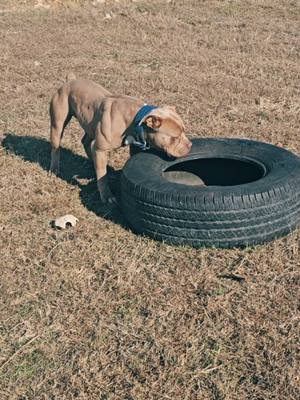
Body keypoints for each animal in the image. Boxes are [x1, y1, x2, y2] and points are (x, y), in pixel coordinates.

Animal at [48, 74, 191, 203]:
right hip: (58, 125)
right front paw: (107, 196)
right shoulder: (101, 149)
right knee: (56, 147)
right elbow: (102, 177)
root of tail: (70, 80)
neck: (135, 120)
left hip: (91, 123)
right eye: (175, 137)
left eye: (184, 131)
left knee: (86, 142)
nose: (190, 145)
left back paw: (93, 161)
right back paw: (54, 168)